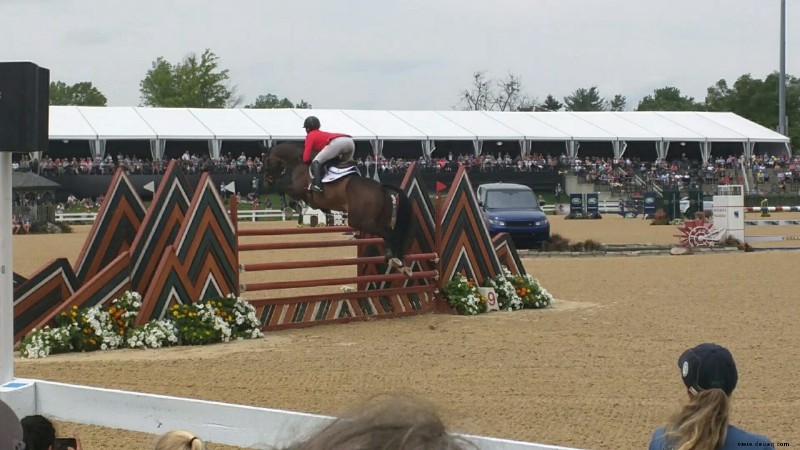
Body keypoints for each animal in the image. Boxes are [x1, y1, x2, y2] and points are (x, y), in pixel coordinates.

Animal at [260, 142, 416, 276]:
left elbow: (282, 189)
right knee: (391, 233)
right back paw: (400, 263)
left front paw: (289, 208)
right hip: (380, 218)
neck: (297, 161)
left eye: (265, 161)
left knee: (389, 234)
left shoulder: (297, 189)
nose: (265, 183)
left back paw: (394, 259)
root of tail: (381, 187)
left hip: (359, 221)